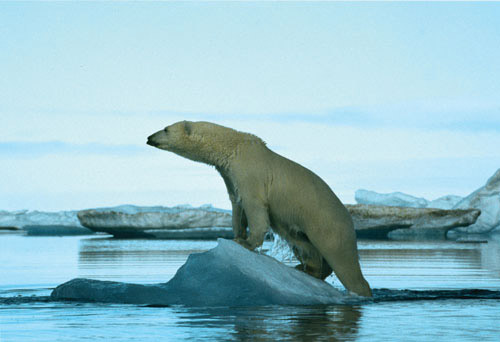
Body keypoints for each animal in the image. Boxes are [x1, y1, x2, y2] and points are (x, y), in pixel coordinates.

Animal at [147, 121, 372, 296]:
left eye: (166, 128)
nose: (149, 137)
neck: (233, 147)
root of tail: (348, 218)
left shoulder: (250, 171)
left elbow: (254, 206)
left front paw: (246, 242)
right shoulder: (229, 175)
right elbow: (237, 205)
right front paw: (236, 235)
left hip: (327, 223)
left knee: (342, 260)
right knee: (304, 245)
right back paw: (306, 269)